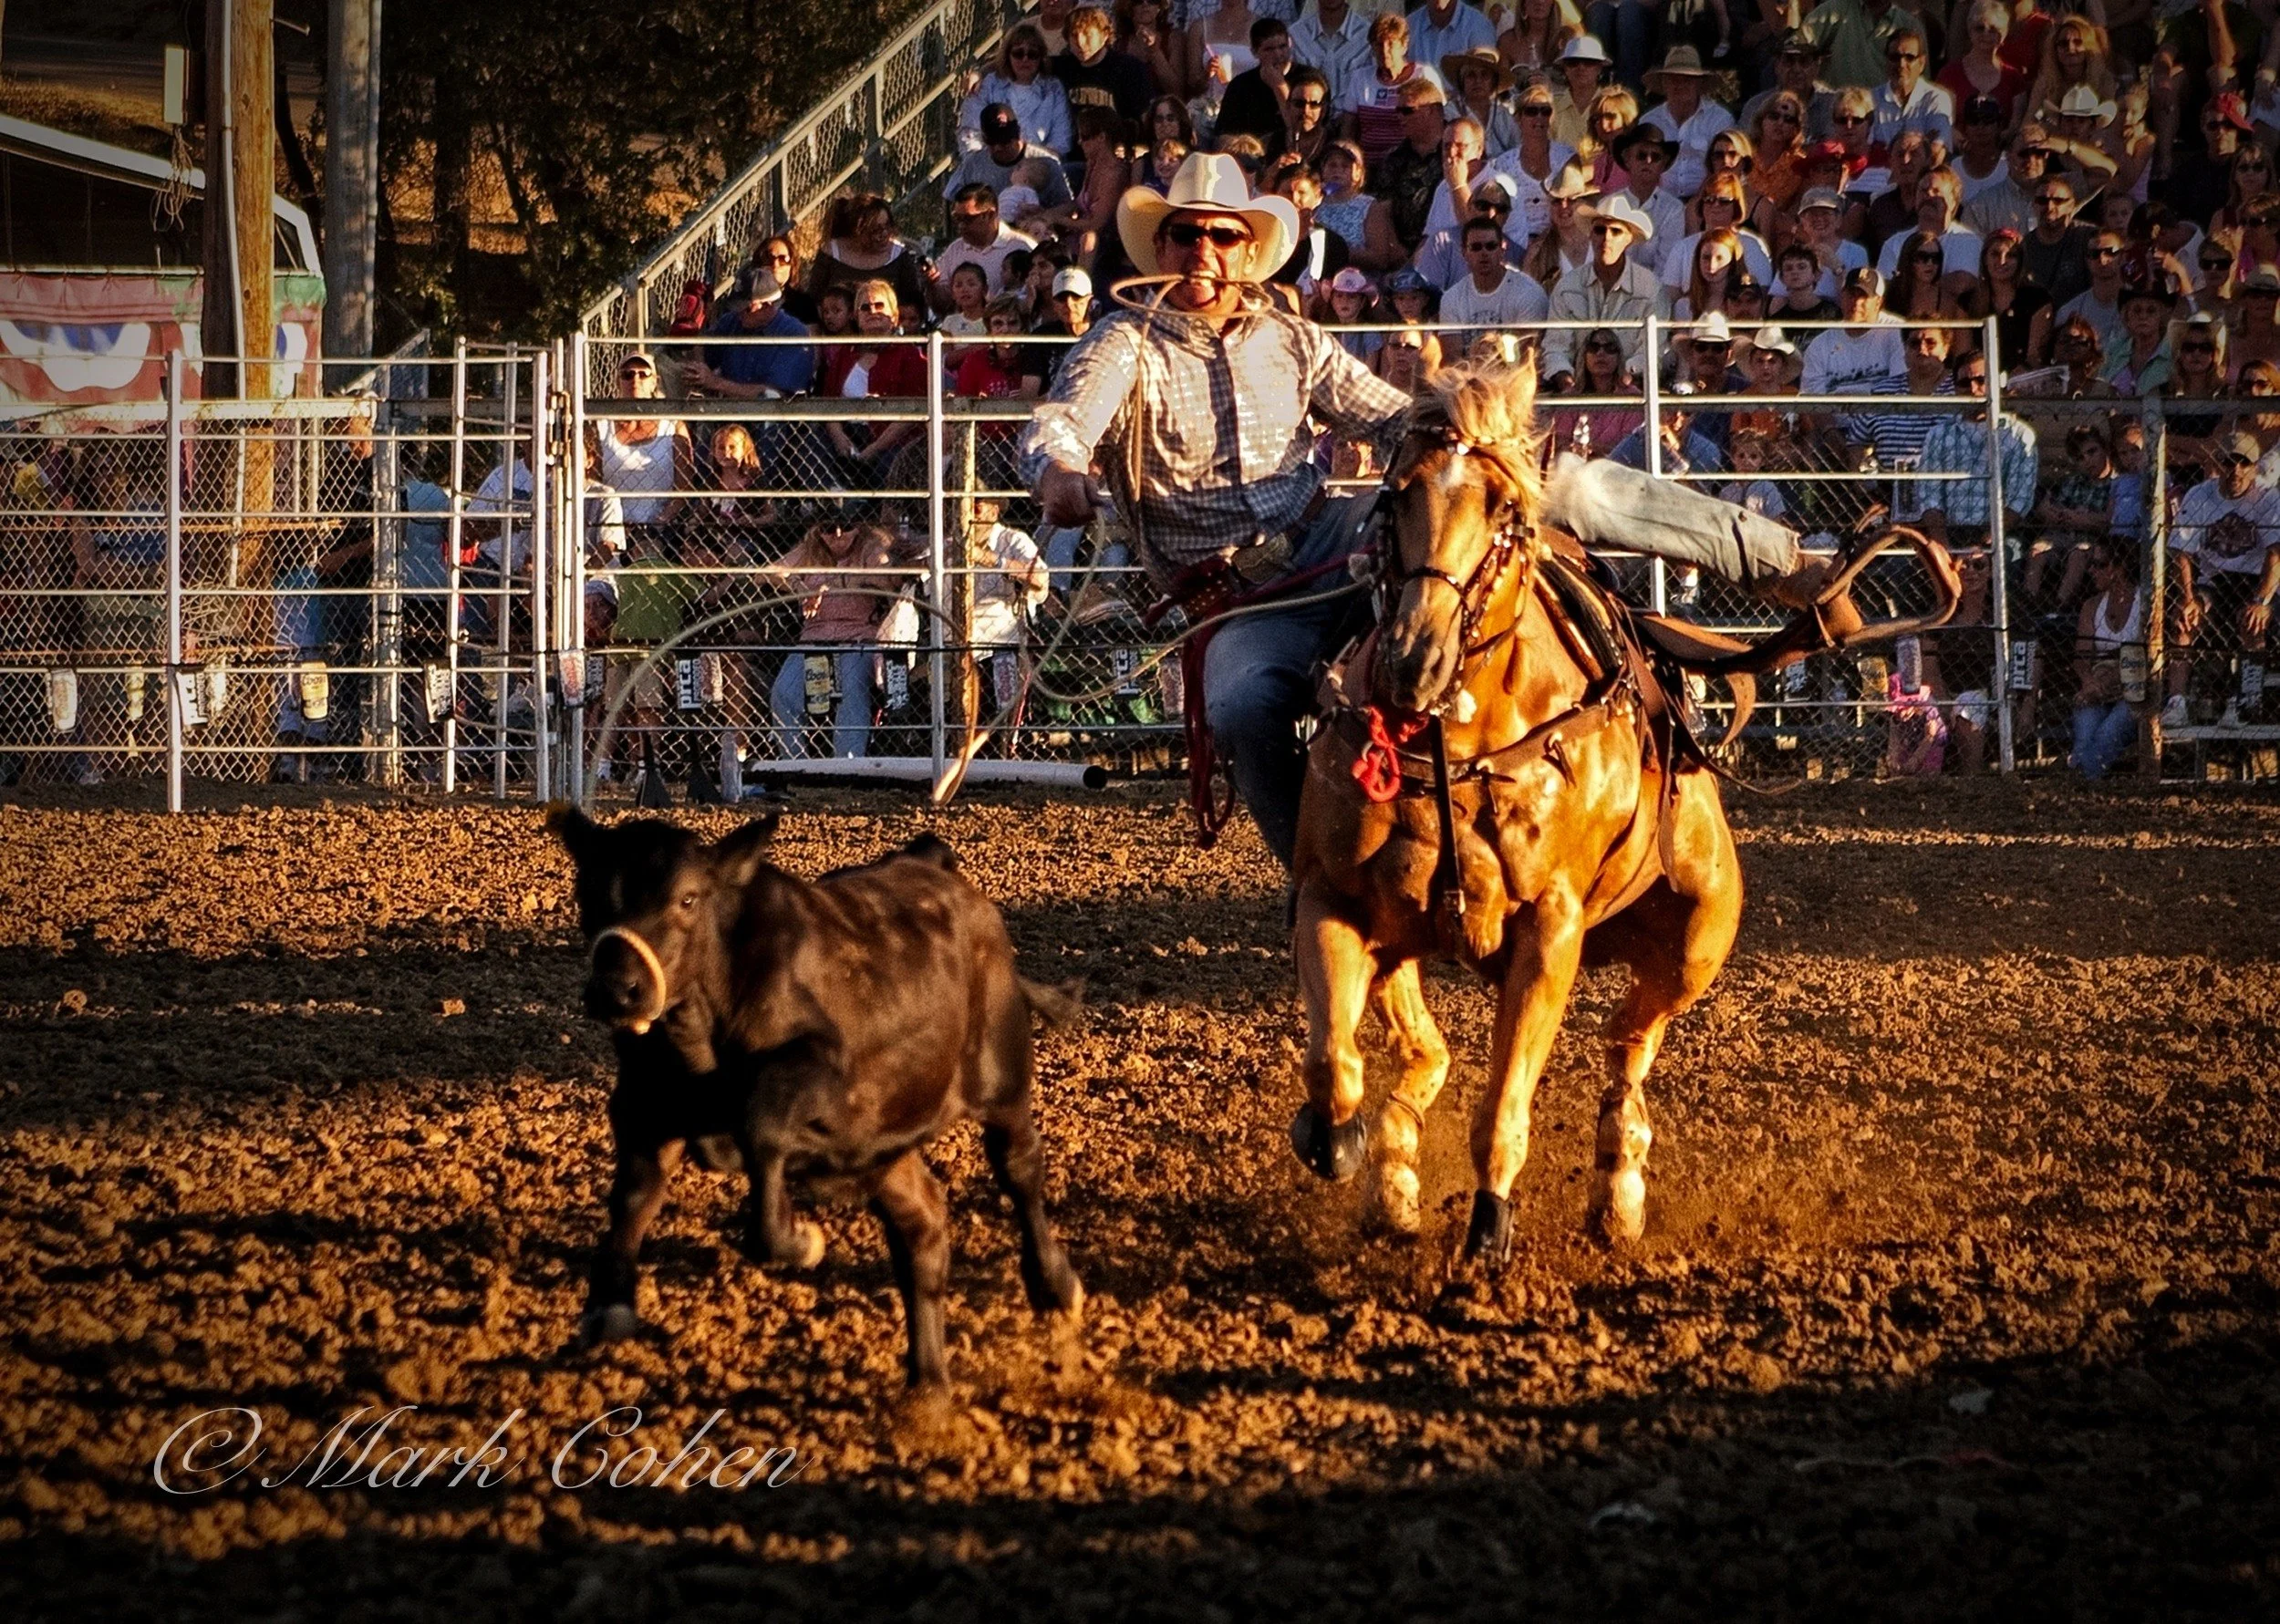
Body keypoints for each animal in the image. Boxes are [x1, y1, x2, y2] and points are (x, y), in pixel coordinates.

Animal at [548, 806, 1085, 1394]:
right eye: (588, 890)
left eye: (687, 898)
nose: (618, 989)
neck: (699, 1035)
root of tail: (935, 864)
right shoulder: (643, 1108)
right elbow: (632, 1200)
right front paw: (609, 1305)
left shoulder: (821, 1069)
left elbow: (761, 1130)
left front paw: (798, 1239)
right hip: (885, 1147)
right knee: (922, 1225)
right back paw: (927, 1390)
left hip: (1002, 1084)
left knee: (1020, 1171)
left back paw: (1055, 1286)